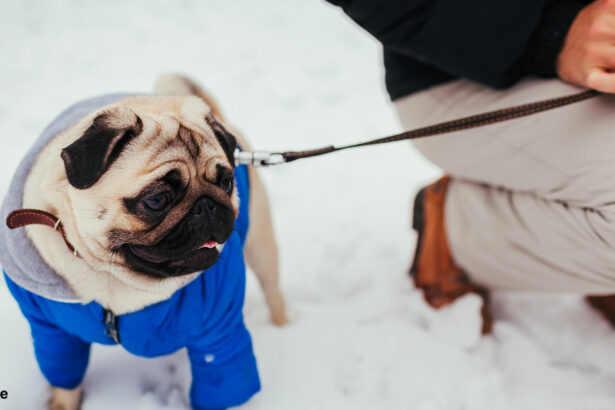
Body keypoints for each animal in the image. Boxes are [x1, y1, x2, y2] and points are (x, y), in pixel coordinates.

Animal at [0, 74, 288, 410]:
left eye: (227, 183)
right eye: (157, 200)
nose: (206, 206)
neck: (114, 279)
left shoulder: (218, 332)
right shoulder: (51, 331)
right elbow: (64, 379)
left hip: (263, 249)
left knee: (273, 292)